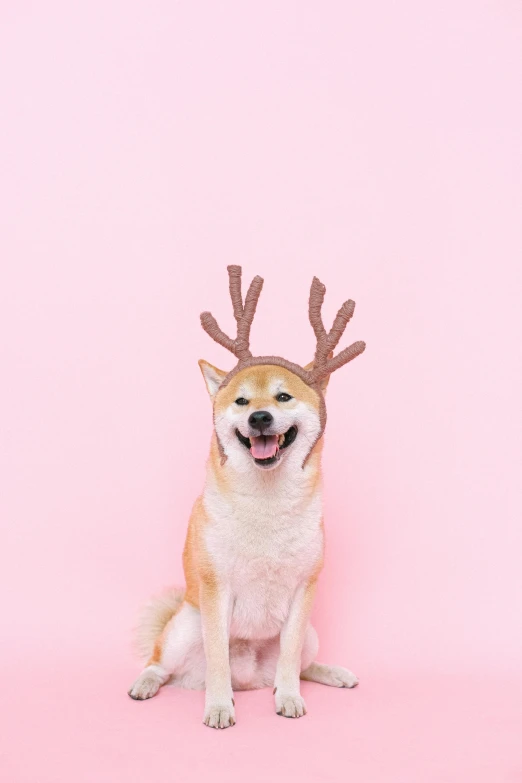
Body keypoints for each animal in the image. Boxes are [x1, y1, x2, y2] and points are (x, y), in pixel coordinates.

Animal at [128, 264, 364, 728]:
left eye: (283, 396)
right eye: (240, 401)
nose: (259, 417)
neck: (266, 504)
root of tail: (250, 677)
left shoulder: (303, 593)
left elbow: (290, 660)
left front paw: (288, 698)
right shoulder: (215, 590)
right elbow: (217, 658)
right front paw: (219, 706)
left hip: (312, 634)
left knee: (303, 664)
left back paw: (331, 673)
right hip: (184, 626)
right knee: (158, 662)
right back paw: (146, 683)